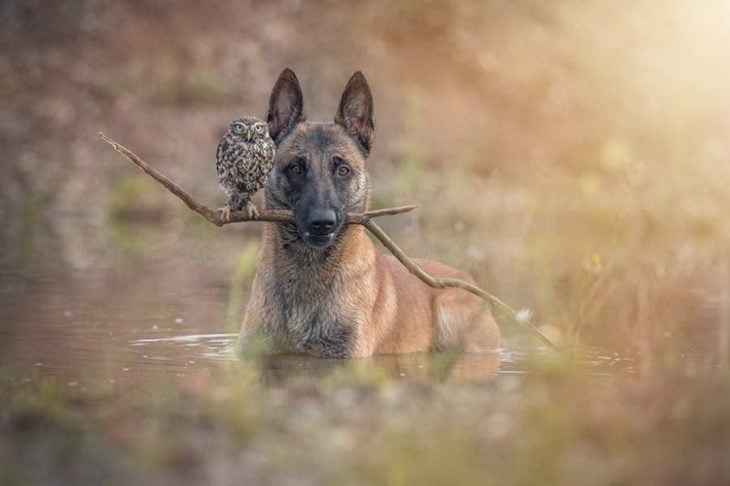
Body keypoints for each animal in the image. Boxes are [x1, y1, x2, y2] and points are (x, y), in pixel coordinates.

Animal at [239, 68, 500, 356]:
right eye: (296, 168)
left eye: (343, 170)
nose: (323, 222)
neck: (307, 273)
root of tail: (467, 278)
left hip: (449, 309)